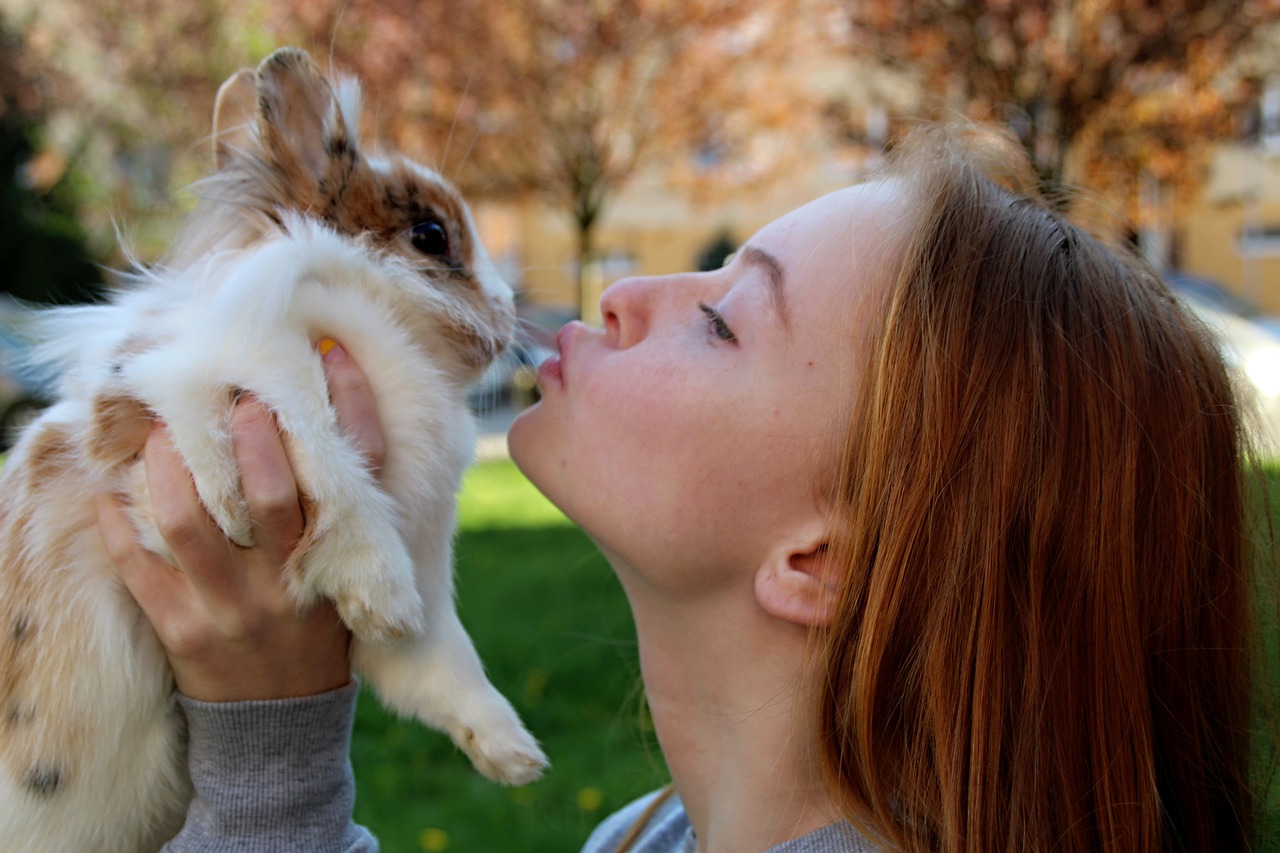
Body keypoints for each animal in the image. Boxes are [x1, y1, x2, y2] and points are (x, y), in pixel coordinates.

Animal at [0, 48, 545, 850]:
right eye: (429, 235)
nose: (509, 319)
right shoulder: (186, 396)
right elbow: (317, 444)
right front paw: (379, 592)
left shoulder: (429, 556)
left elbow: (442, 660)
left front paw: (512, 753)